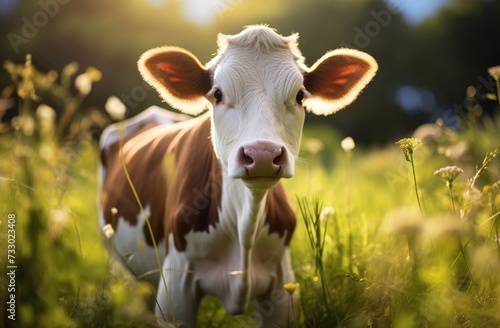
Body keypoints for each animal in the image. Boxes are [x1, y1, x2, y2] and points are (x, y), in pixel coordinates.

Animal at [98, 24, 378, 326]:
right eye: (218, 94)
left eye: (300, 96)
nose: (263, 155)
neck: (244, 226)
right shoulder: (176, 288)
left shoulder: (283, 289)